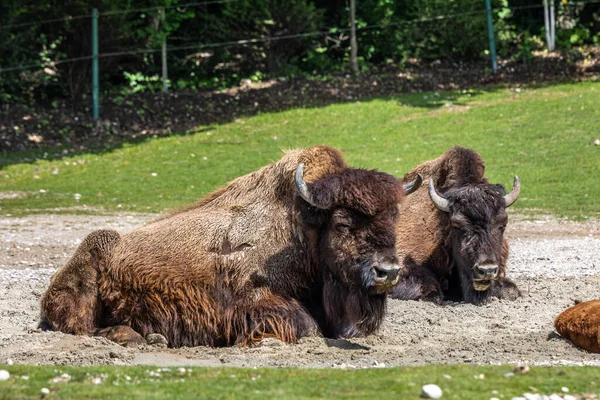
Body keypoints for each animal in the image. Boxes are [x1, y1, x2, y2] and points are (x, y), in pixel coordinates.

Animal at [39, 146, 420, 346]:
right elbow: (303, 325)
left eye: (394, 219)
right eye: (342, 223)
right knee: (82, 326)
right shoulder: (252, 301)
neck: (301, 225)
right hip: (94, 252)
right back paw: (139, 337)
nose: (388, 272)